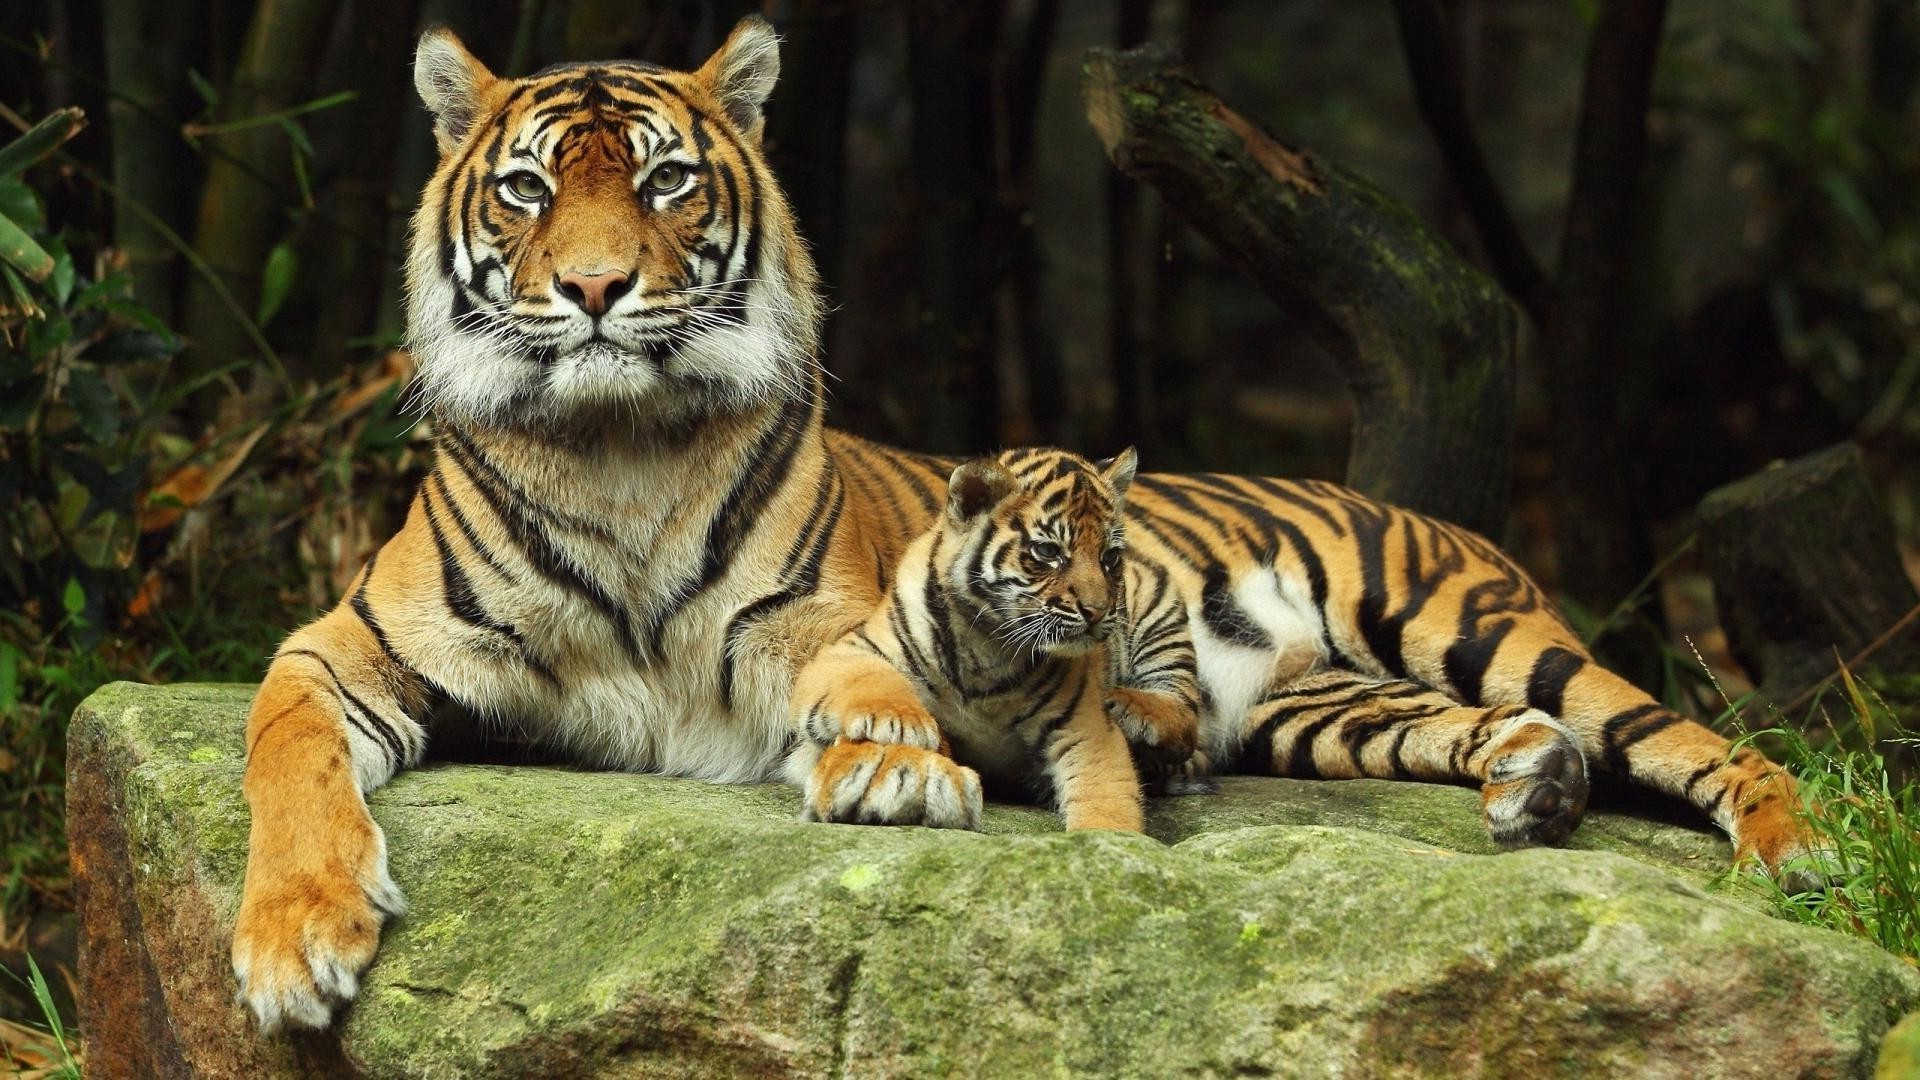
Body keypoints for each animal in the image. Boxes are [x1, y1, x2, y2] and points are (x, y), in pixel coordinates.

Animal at [228, 14, 1812, 1022]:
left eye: (669, 182)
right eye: (528, 189)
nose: (600, 288)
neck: (617, 449)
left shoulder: (818, 628)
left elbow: (855, 696)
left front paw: (890, 769)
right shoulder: (341, 644)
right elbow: (287, 752)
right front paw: (295, 944)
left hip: (1479, 627)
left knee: (1696, 739)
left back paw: (1790, 855)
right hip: (1332, 711)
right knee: (1491, 735)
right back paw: (1521, 788)